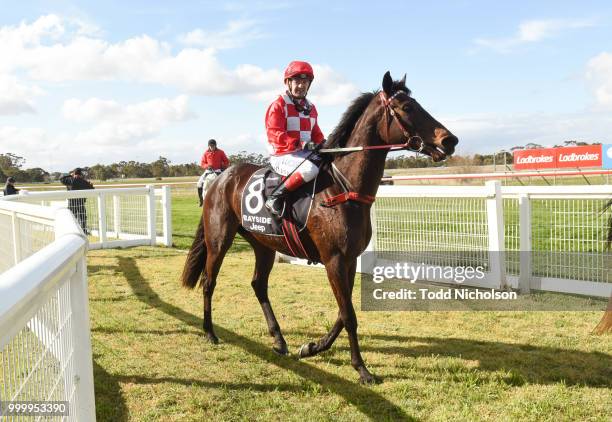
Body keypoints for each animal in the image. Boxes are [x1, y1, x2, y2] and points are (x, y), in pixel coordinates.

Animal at [182, 71, 460, 382]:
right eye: (407, 107)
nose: (450, 140)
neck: (344, 188)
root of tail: (220, 178)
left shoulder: (349, 259)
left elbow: (343, 311)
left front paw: (312, 347)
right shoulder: (334, 259)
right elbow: (349, 315)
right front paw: (361, 369)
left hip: (264, 244)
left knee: (258, 285)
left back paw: (279, 339)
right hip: (219, 240)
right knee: (209, 282)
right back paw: (210, 332)